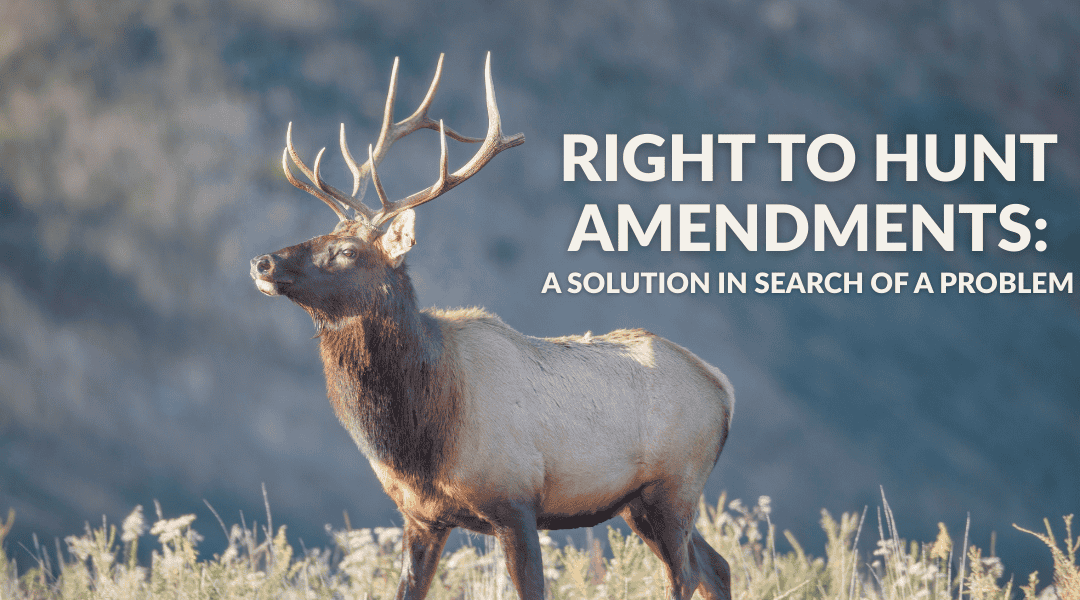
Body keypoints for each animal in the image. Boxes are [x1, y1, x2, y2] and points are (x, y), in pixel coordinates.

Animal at [250, 53, 734, 600]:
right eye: (324, 232)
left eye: (348, 251)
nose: (263, 262)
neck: (420, 436)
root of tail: (722, 387)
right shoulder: (422, 516)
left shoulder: (516, 501)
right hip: (640, 503)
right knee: (717, 566)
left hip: (675, 486)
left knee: (686, 573)